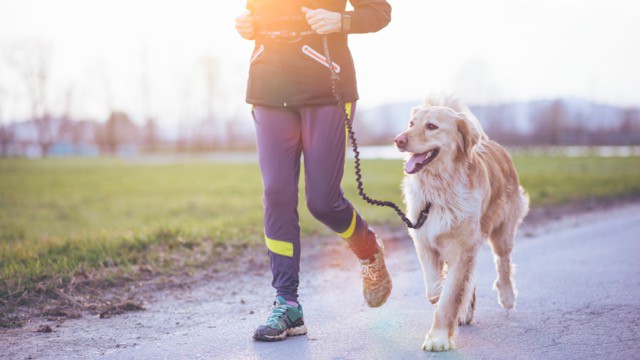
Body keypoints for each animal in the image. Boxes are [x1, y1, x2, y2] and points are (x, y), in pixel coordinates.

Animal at [396, 95, 528, 352]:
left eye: (431, 126)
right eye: (411, 123)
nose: (399, 140)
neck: (439, 187)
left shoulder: (462, 246)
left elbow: (450, 295)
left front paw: (438, 337)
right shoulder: (424, 240)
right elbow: (434, 289)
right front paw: (445, 297)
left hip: (502, 230)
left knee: (503, 262)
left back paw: (507, 297)